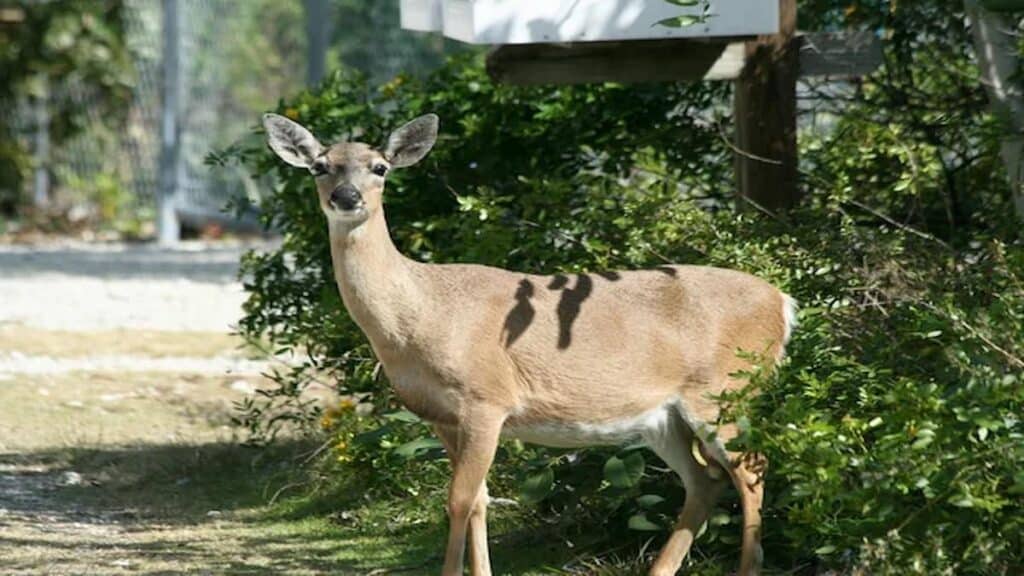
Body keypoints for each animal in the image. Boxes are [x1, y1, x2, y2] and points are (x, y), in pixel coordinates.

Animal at [263, 112, 797, 576]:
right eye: (320, 166)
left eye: (380, 167)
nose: (346, 195)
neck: (422, 315)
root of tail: (783, 302)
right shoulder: (440, 416)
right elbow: (479, 500)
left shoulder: (487, 398)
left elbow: (458, 499)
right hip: (663, 416)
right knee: (705, 480)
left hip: (726, 389)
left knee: (752, 469)